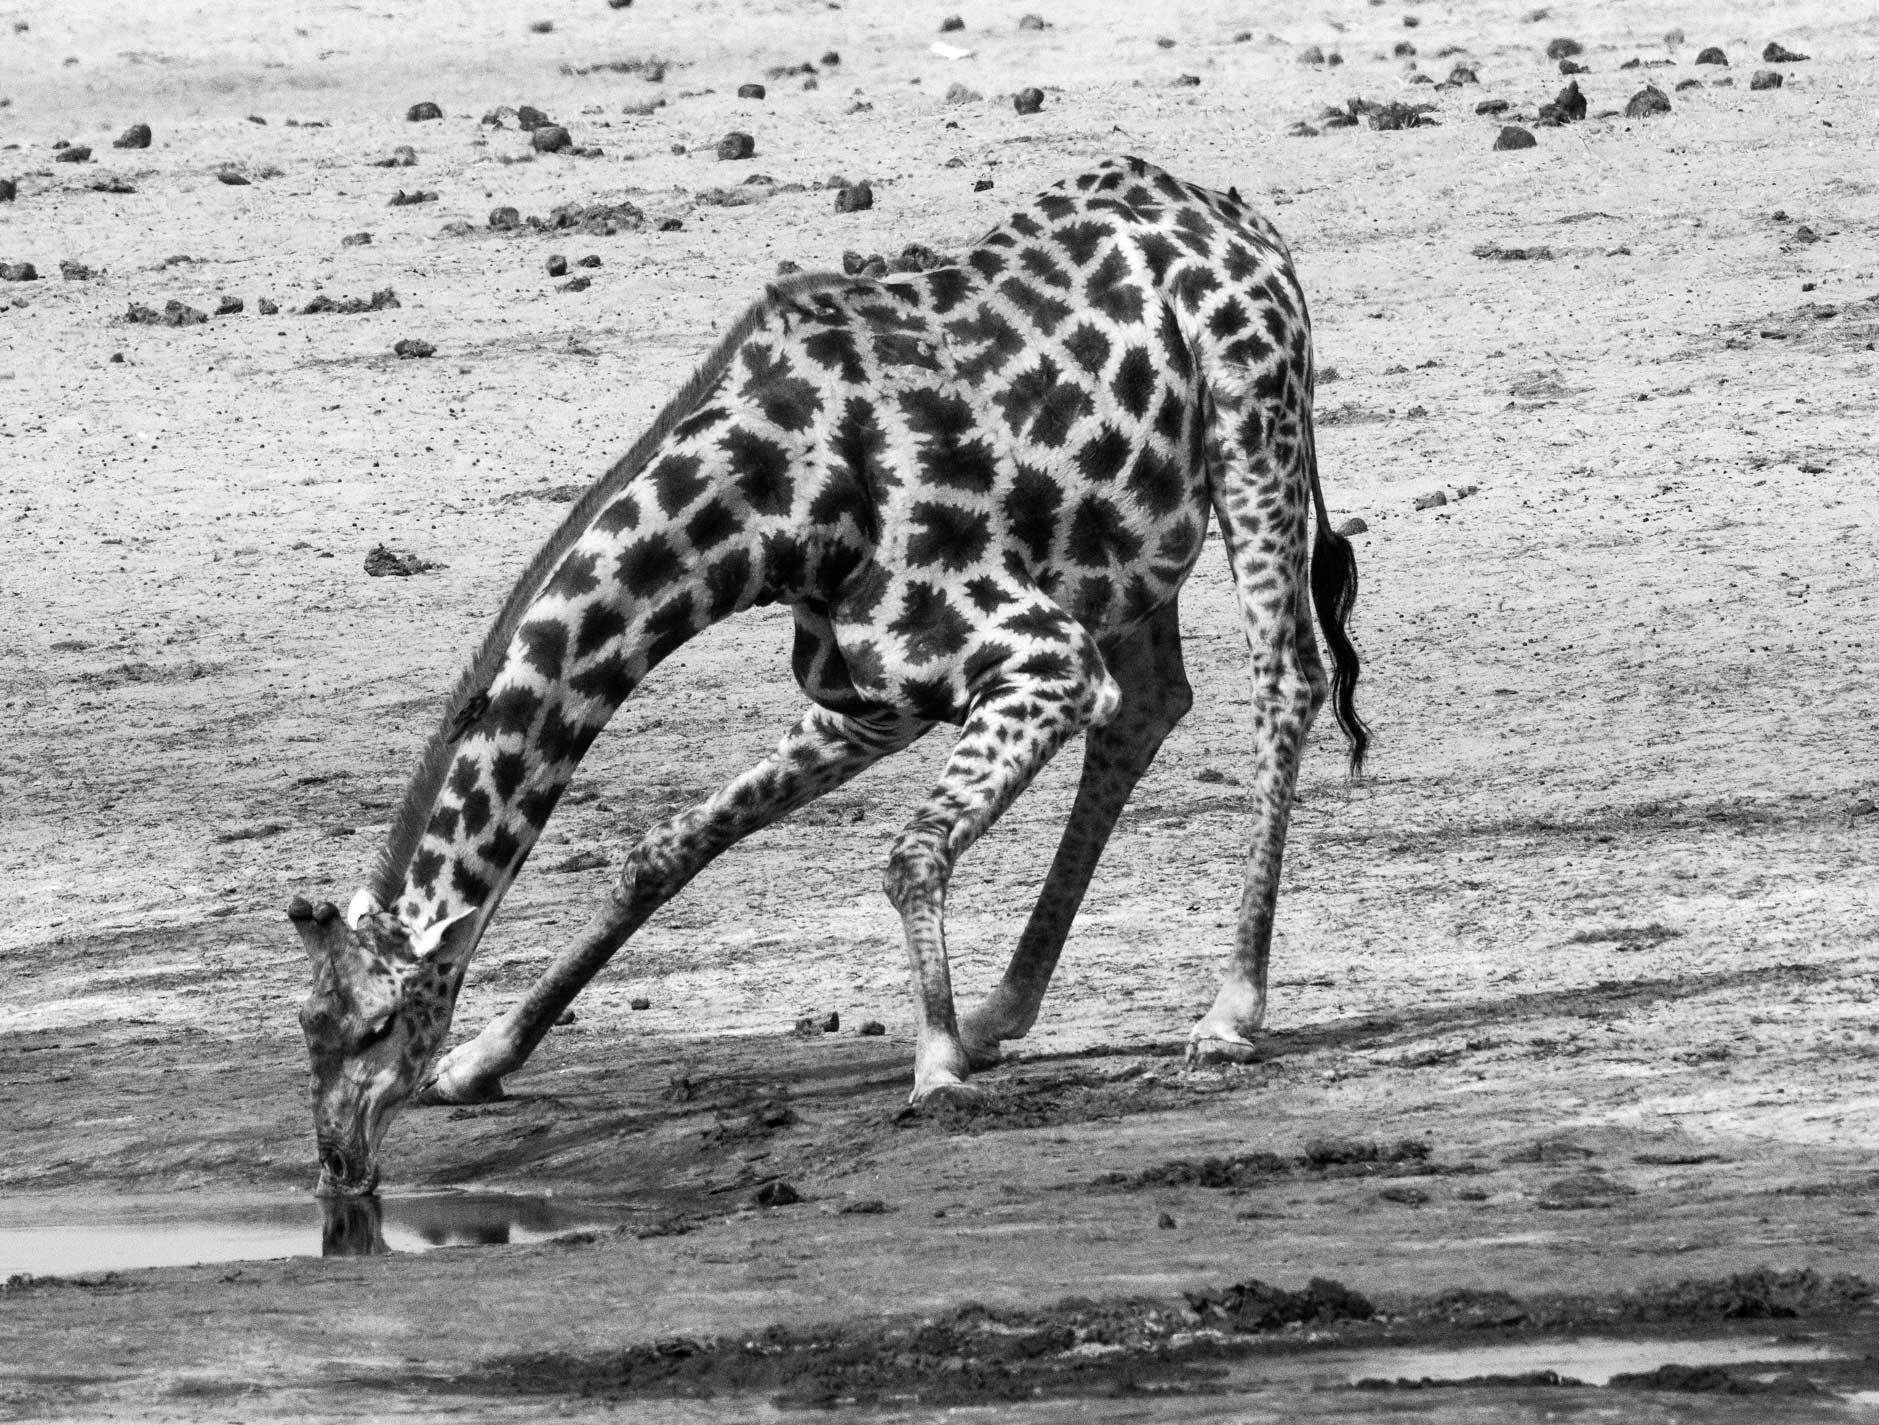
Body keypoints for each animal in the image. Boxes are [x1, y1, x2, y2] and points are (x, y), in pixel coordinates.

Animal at [290, 156, 1368, 1197]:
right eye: (307, 1026)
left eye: (379, 1025)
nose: (338, 1165)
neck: (769, 503)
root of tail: (1242, 220)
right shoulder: (870, 700)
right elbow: (662, 852)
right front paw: (479, 1060)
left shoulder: (1043, 658)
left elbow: (908, 854)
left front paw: (934, 1068)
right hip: (1136, 551)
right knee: (1149, 706)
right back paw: (1001, 1008)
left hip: (1253, 435)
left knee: (1285, 680)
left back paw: (1226, 1012)